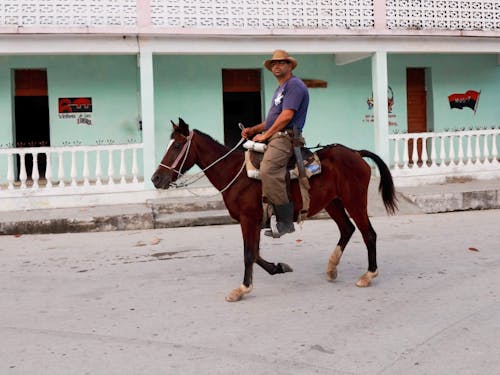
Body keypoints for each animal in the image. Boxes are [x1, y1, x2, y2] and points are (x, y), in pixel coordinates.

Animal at [150, 119, 396, 304]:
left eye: (176, 146)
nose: (156, 179)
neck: (234, 173)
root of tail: (356, 152)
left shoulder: (248, 219)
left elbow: (249, 254)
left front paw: (243, 288)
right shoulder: (255, 220)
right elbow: (256, 253)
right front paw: (279, 267)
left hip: (354, 201)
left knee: (368, 234)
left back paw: (368, 275)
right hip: (332, 203)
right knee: (347, 229)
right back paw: (332, 268)